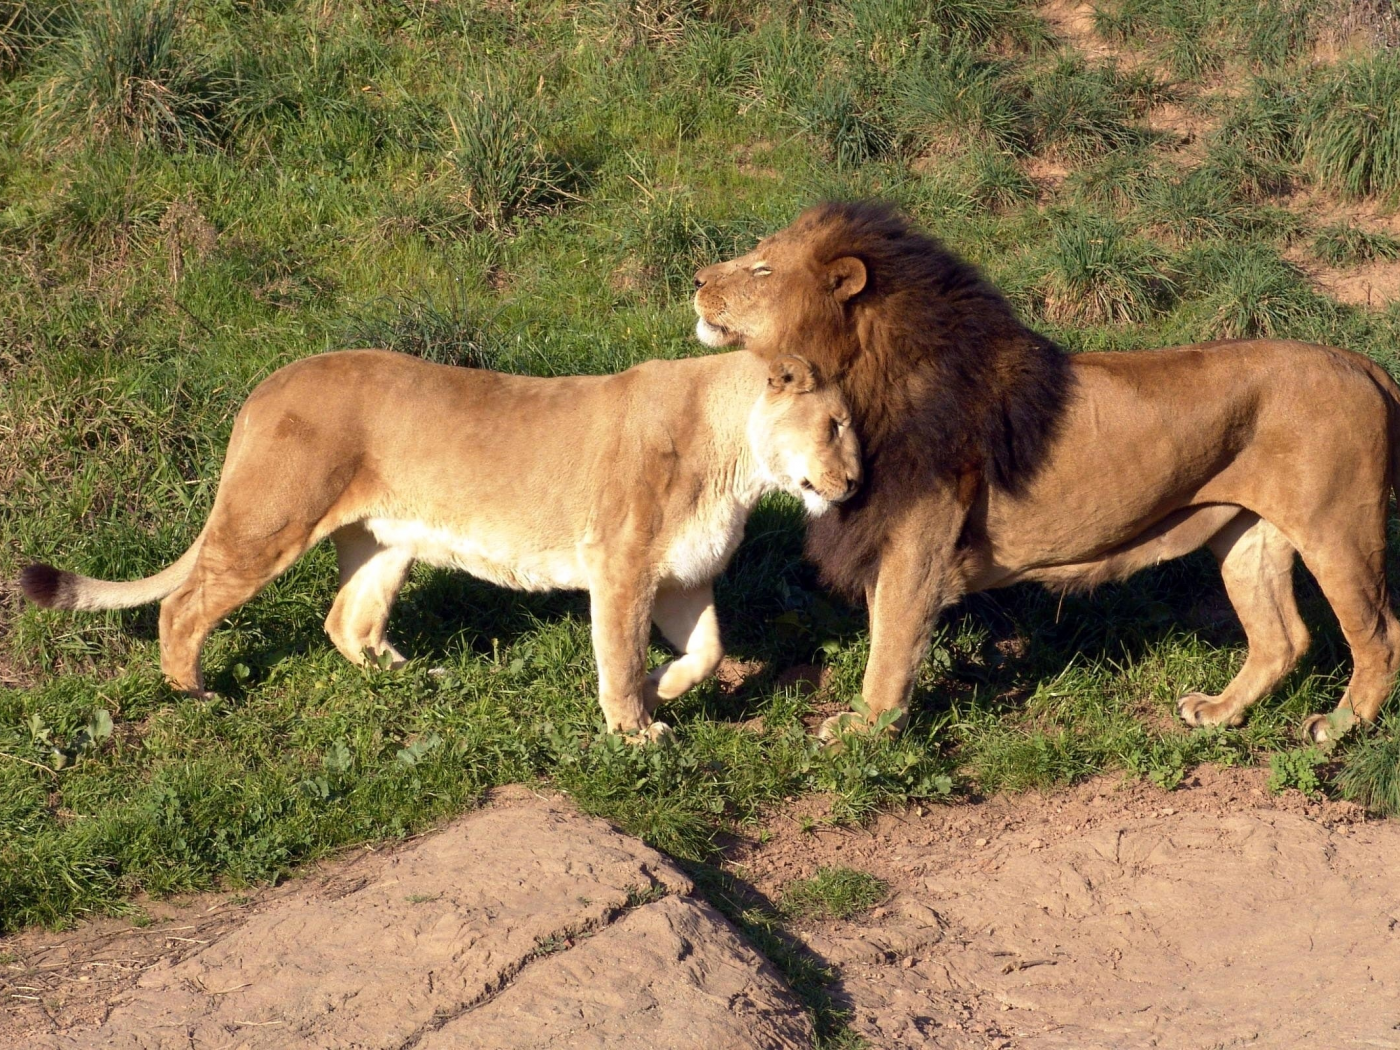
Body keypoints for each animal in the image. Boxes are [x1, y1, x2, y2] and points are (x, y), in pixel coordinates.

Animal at [21, 351, 856, 739]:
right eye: (836, 425)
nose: (852, 483)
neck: (738, 461)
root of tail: (265, 387)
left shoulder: (682, 576)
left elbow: (708, 651)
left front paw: (664, 691)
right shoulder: (620, 566)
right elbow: (618, 657)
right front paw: (635, 729)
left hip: (386, 541)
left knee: (345, 620)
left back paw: (414, 678)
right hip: (271, 520)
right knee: (186, 605)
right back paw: (194, 692)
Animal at [694, 201, 1400, 744]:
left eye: (762, 267)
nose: (697, 277)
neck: (858, 381)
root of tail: (1361, 362)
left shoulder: (916, 544)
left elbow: (890, 645)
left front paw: (865, 731)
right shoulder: (885, 533)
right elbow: (882, 631)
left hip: (1338, 530)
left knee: (1379, 634)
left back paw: (1340, 727)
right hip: (1247, 532)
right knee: (1284, 638)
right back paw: (1220, 711)